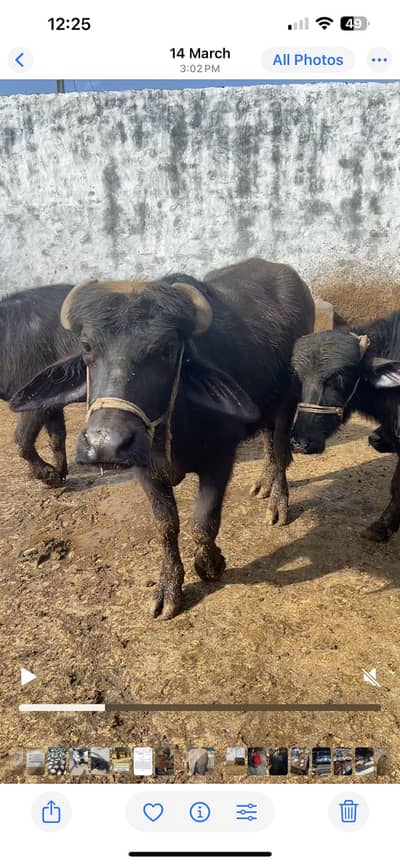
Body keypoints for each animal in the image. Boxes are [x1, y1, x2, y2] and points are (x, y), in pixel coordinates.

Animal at [0, 284, 79, 485]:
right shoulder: (52, 403)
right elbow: (57, 437)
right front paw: (60, 473)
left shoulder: (33, 400)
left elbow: (22, 438)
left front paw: (48, 476)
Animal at [11, 258, 314, 618]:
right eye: (86, 347)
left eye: (168, 349)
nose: (105, 444)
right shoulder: (145, 470)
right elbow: (166, 525)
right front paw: (169, 588)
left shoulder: (220, 459)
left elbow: (203, 521)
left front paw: (211, 565)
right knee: (268, 440)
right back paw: (264, 484)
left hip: (288, 398)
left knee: (279, 447)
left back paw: (278, 503)